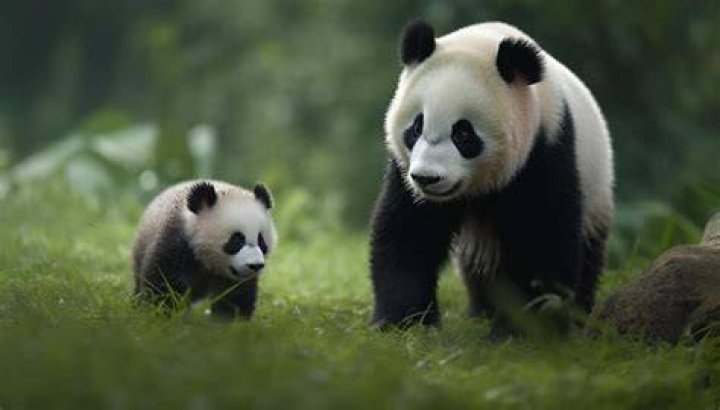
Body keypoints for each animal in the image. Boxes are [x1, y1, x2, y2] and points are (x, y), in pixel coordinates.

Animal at [132, 180, 277, 318]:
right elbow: (164, 282)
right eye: (236, 240)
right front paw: (160, 312)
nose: (255, 265)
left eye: (261, 241)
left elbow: (235, 295)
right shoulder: (176, 243)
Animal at [369, 20, 613, 335]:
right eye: (416, 127)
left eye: (463, 133)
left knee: (588, 255)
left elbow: (540, 240)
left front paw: (520, 329)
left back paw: (578, 316)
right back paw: (480, 311)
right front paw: (403, 322)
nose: (427, 178)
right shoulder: (405, 172)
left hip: (596, 191)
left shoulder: (545, 150)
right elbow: (409, 233)